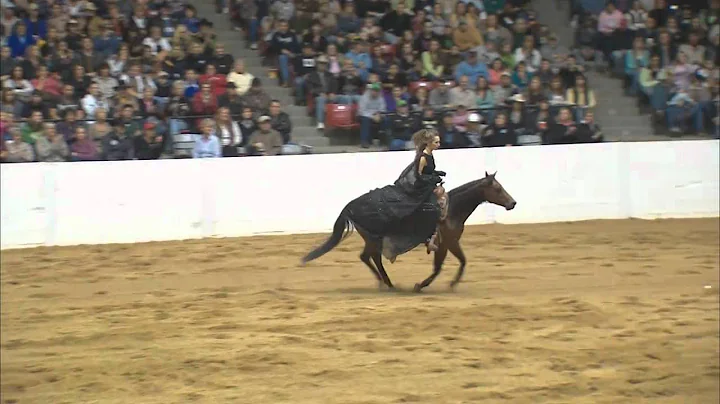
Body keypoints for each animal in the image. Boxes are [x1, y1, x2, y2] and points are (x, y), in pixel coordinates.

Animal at [302, 170, 516, 290]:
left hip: (372, 240)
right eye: (497, 189)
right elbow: (441, 267)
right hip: (374, 239)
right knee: (370, 257)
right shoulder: (447, 243)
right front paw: (421, 285)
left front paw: (451, 283)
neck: (451, 209)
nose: (512, 203)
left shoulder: (450, 243)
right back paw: (386, 283)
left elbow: (461, 262)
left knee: (368, 257)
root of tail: (350, 206)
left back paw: (385, 282)